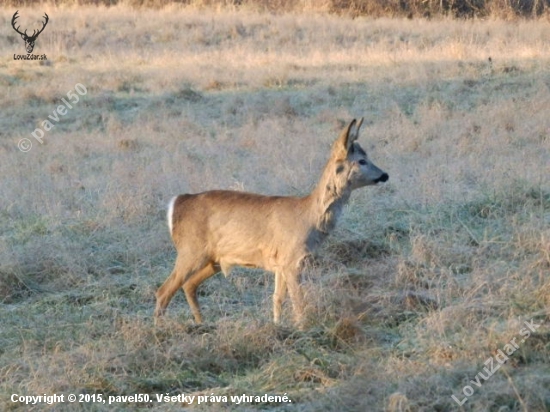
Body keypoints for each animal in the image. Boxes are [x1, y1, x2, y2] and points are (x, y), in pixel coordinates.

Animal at [154, 117, 388, 326]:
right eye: (361, 160)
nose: (384, 175)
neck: (308, 217)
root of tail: (177, 203)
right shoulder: (292, 260)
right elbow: (298, 301)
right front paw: (303, 328)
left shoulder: (280, 263)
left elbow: (277, 299)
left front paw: (278, 326)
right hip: (190, 250)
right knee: (164, 290)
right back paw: (160, 328)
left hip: (214, 259)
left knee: (188, 285)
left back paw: (201, 324)